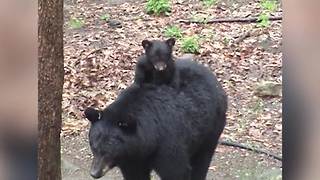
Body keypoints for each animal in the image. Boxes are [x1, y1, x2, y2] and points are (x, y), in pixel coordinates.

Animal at [84, 59, 226, 180]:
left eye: (109, 151)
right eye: (94, 147)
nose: (95, 173)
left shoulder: (168, 143)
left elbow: (176, 171)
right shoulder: (132, 157)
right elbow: (135, 174)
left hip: (211, 127)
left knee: (202, 161)